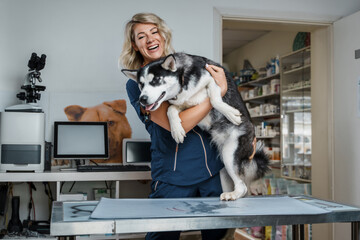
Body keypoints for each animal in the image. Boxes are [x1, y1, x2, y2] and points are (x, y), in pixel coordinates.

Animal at [122, 53, 268, 201]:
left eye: (156, 80)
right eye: (141, 85)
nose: (142, 99)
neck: (182, 81)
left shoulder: (213, 79)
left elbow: (214, 99)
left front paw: (230, 112)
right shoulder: (182, 104)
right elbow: (170, 110)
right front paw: (176, 130)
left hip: (230, 154)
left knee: (242, 186)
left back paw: (233, 194)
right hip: (223, 170)